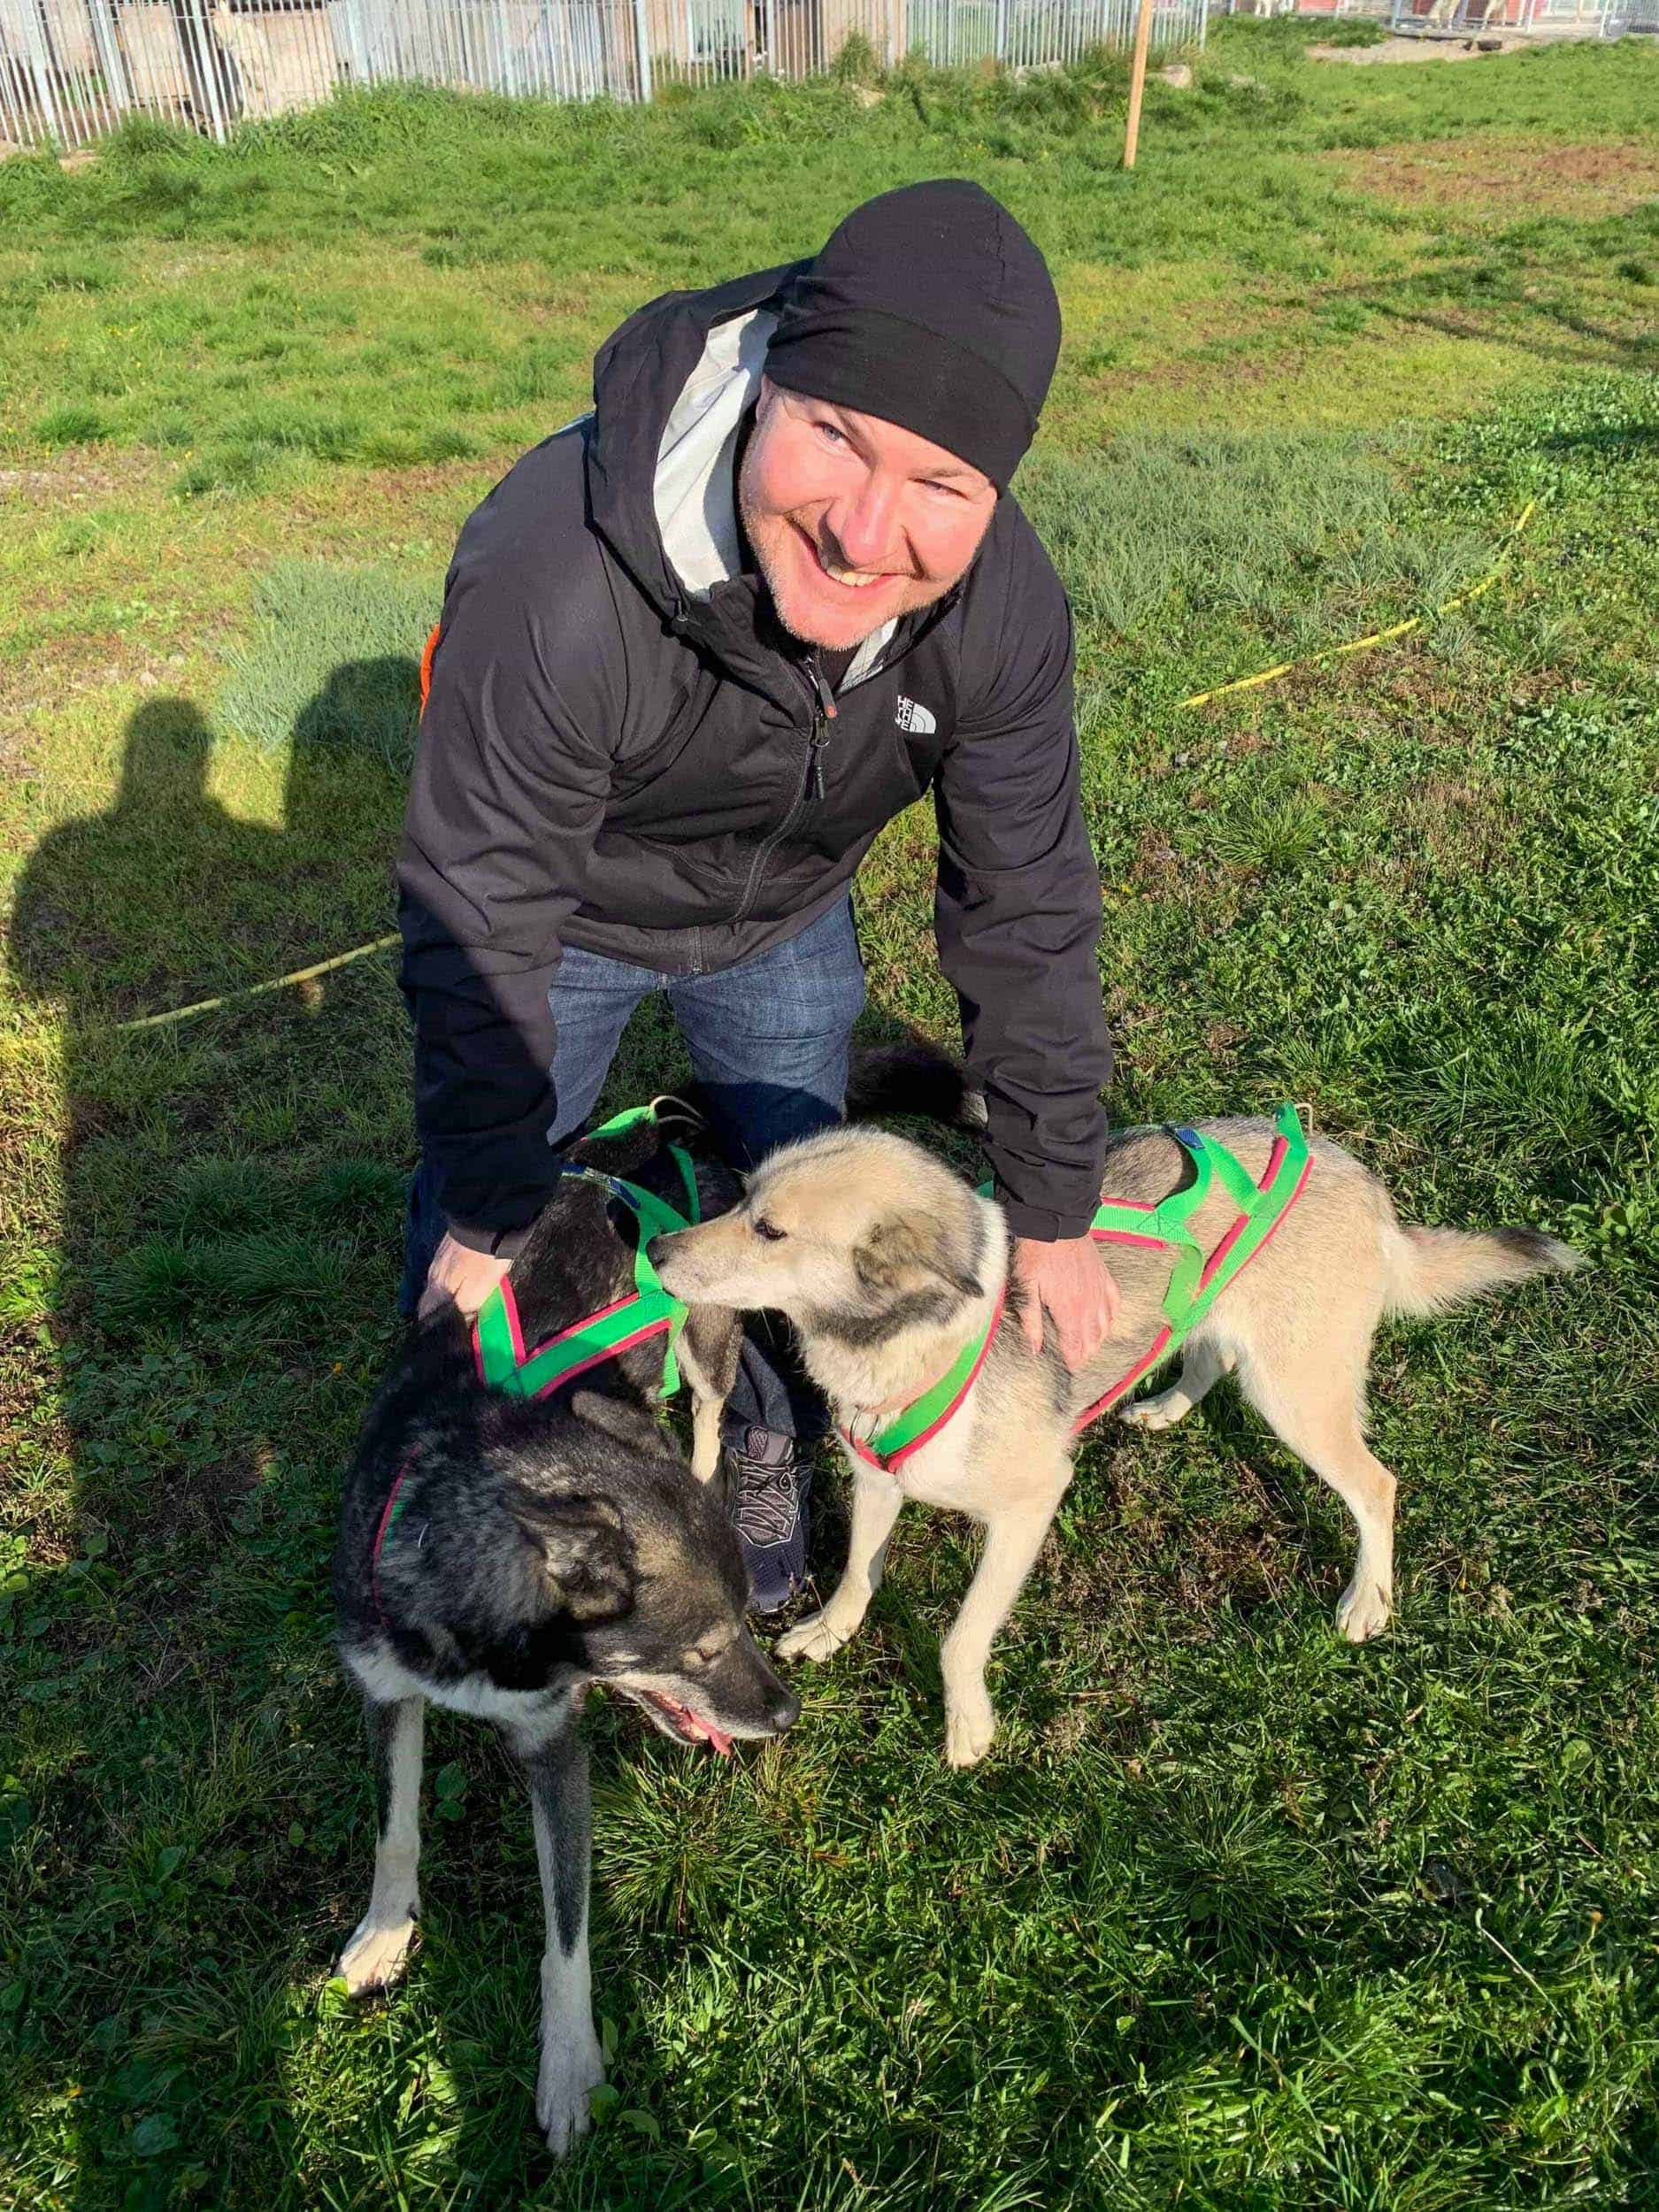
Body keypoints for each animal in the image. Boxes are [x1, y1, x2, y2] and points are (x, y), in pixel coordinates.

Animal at [334, 1115, 801, 2150]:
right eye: (704, 1650)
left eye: (743, 1627)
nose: (786, 1715)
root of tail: (654, 1135)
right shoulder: (386, 1692)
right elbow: (394, 1832)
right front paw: (385, 1933)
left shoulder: (554, 1751)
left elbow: (565, 1939)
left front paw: (568, 2069)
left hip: (705, 1336)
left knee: (710, 1407)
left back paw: (706, 1473)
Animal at [646, 1079, 1575, 1770]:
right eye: (745, 1198)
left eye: (770, 1229)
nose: (654, 1250)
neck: (906, 1338)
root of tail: (1358, 1180)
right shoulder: (880, 1479)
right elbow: (856, 1576)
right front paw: (829, 1633)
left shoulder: (1028, 1507)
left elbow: (958, 1637)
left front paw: (966, 1726)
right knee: (1207, 1350)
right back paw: (1164, 1404)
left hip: (1295, 1397)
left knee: (1375, 1485)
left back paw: (1366, 1601)